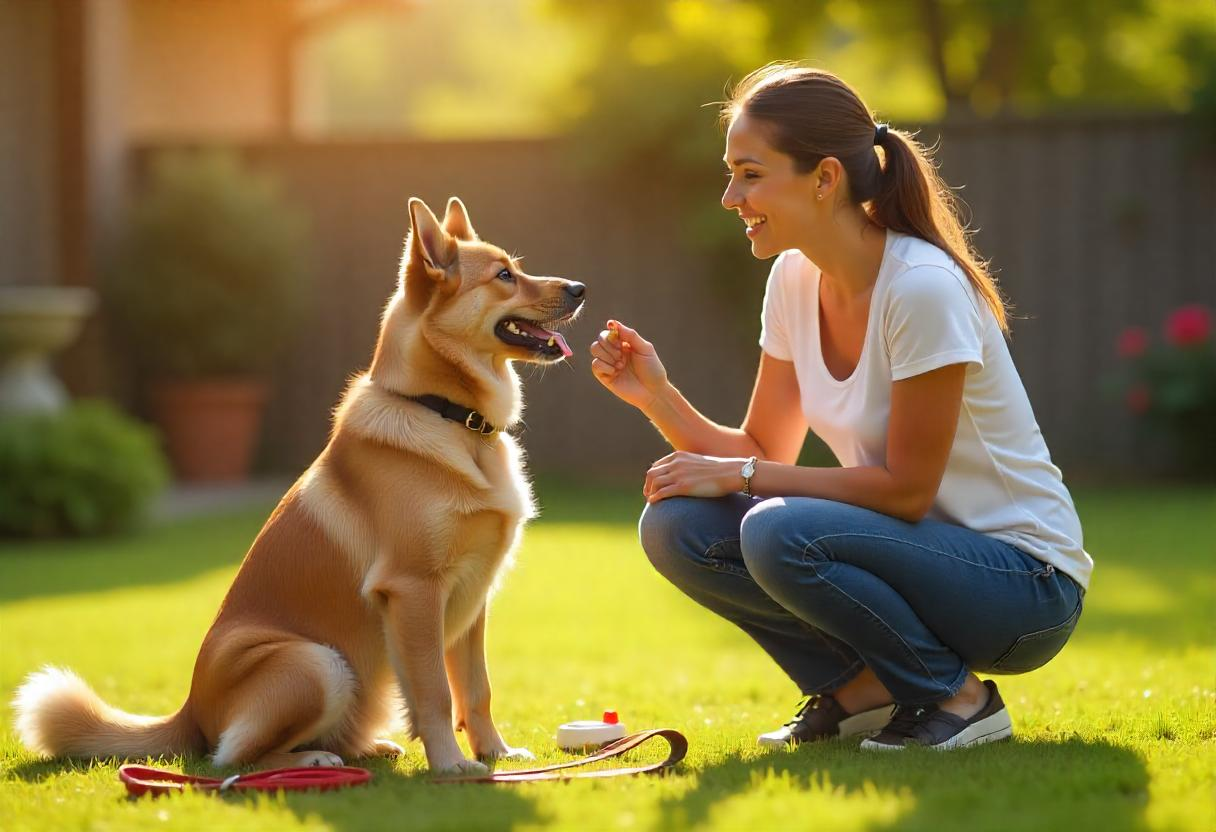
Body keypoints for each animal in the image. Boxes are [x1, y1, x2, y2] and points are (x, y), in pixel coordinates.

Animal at [13, 194, 583, 773]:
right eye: (504, 276)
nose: (580, 288)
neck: (448, 416)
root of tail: (190, 711)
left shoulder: (473, 597)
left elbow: (476, 687)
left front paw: (496, 752)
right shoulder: (415, 589)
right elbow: (434, 694)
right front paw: (450, 766)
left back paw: (366, 747)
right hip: (318, 663)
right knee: (232, 758)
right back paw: (311, 760)